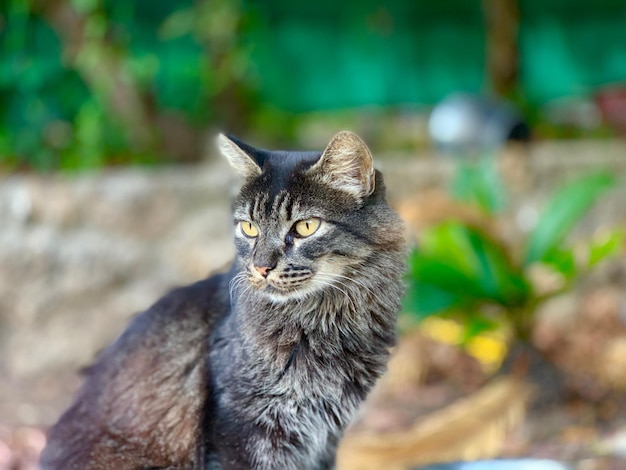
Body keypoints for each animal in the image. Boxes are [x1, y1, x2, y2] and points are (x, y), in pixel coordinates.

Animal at [41, 130, 408, 468]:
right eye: (249, 228)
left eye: (305, 227)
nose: (261, 267)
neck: (327, 321)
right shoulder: (243, 431)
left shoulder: (323, 437)